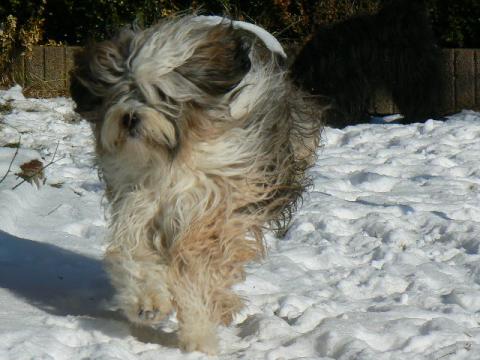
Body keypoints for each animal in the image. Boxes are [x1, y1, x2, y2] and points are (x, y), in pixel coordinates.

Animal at [69, 16, 322, 354]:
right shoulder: (138, 203)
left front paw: (199, 334)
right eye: (120, 90)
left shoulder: (211, 209)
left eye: (161, 94)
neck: (171, 162)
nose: (130, 117)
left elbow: (198, 269)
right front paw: (147, 302)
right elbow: (136, 253)